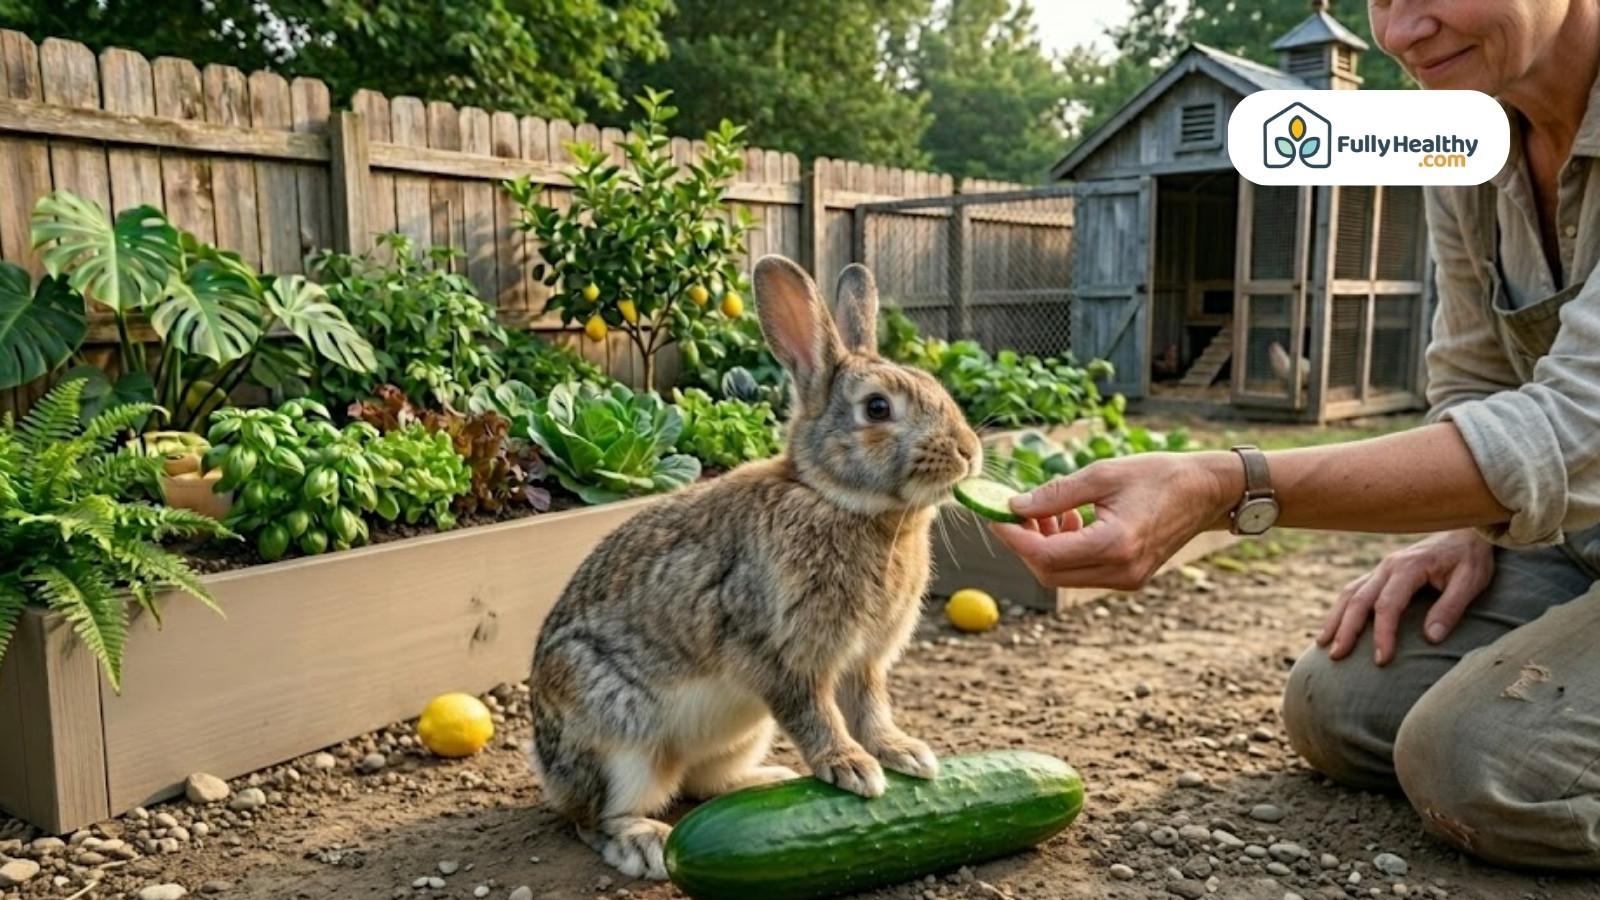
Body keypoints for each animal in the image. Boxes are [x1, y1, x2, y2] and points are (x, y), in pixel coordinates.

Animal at [528, 255, 983, 881]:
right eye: (877, 408)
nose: (968, 451)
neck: (837, 500)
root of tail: (547, 765)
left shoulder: (865, 661)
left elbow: (870, 709)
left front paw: (903, 752)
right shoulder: (779, 653)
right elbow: (817, 714)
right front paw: (852, 767)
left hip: (741, 733)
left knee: (700, 782)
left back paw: (766, 781)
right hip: (619, 738)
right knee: (593, 816)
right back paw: (645, 843)